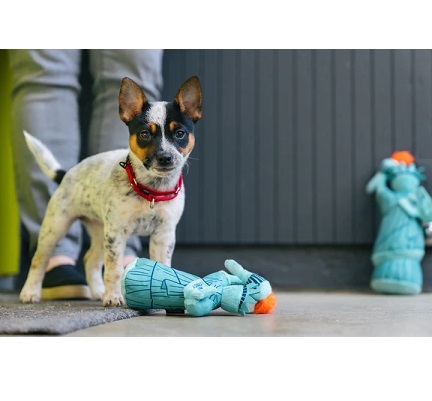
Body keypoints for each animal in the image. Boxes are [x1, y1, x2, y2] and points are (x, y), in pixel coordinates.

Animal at [19, 76, 202, 306]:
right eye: (144, 134)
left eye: (180, 134)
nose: (165, 157)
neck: (151, 190)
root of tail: (67, 173)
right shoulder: (117, 233)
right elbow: (114, 270)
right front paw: (114, 297)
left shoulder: (164, 234)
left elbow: (162, 267)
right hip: (56, 227)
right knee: (39, 260)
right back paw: (30, 292)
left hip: (100, 232)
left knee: (90, 260)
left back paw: (98, 291)